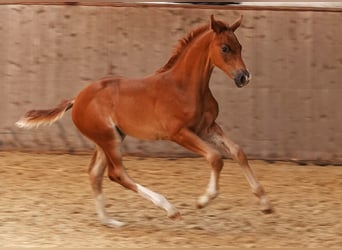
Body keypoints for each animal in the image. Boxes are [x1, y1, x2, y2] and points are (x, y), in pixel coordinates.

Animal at [16, 14, 274, 228]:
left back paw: (109, 221)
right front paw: (203, 200)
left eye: (240, 47)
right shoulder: (179, 133)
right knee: (117, 174)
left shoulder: (207, 127)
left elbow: (238, 152)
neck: (185, 87)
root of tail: (76, 99)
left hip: (109, 138)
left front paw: (265, 203)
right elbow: (215, 158)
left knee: (95, 173)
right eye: (224, 48)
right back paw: (170, 210)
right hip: (108, 139)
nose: (244, 77)